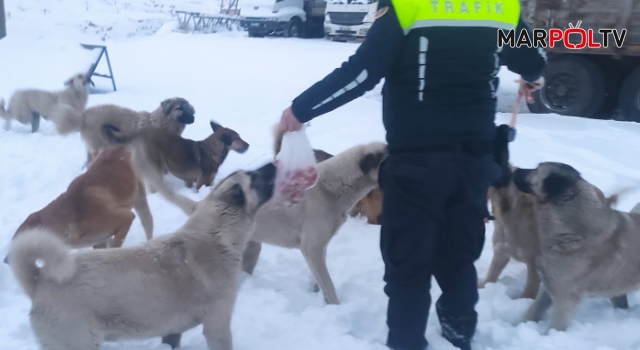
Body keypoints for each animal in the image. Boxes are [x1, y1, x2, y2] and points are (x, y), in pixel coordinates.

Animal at [3, 144, 152, 264]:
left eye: (19, 244)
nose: (5, 260)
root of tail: (117, 146)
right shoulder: (99, 241)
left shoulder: (126, 218)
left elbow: (115, 246)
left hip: (140, 200)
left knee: (148, 222)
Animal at [7, 161, 276, 350]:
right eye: (254, 177)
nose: (272, 165)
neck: (217, 233)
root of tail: (39, 280)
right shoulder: (217, 325)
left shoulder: (172, 330)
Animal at [516, 163, 640, 332]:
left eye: (537, 169)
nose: (515, 169)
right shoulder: (551, 286)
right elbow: (533, 311)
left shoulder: (565, 298)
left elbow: (555, 327)